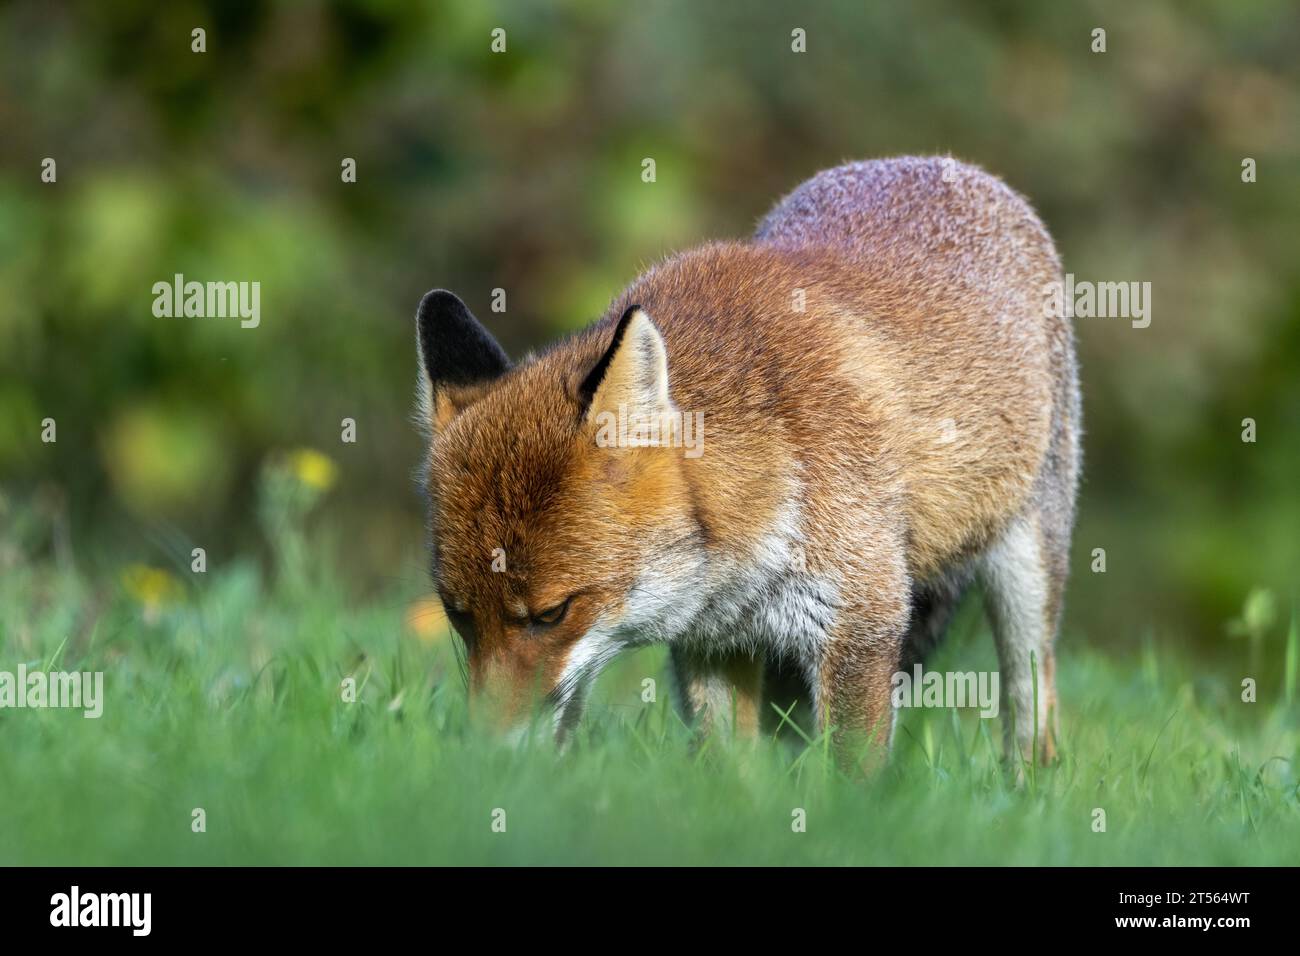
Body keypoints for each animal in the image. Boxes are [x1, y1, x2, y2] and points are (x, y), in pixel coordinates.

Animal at [415, 156, 1081, 769]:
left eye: (552, 613)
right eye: (458, 616)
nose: (485, 759)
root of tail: (940, 163)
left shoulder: (860, 626)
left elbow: (850, 776)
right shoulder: (714, 643)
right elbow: (729, 770)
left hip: (1028, 570)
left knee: (1036, 707)